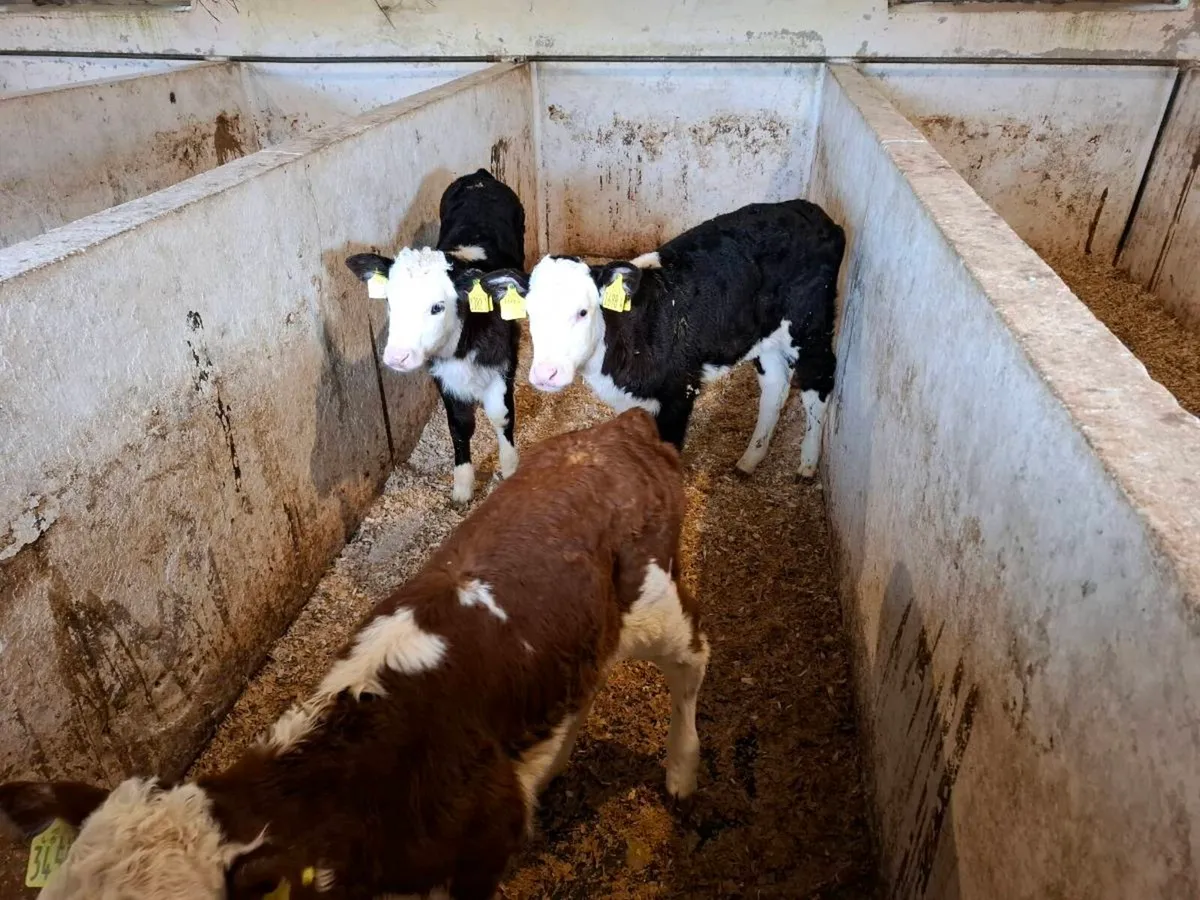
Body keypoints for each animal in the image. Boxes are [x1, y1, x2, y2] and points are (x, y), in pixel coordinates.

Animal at [346, 169, 526, 505]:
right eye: (390, 301)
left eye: (437, 306)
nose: (397, 357)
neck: (462, 347)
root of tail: (480, 176)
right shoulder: (443, 374)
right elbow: (459, 425)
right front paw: (463, 487)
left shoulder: (504, 362)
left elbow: (501, 416)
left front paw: (510, 470)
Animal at [469, 200, 845, 479]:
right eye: (530, 313)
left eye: (583, 312)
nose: (546, 374)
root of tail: (813, 211)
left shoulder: (678, 394)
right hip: (766, 335)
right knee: (775, 386)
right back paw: (750, 460)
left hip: (810, 324)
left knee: (819, 382)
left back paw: (807, 464)